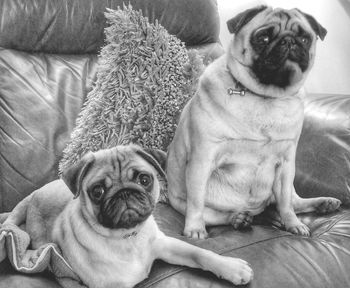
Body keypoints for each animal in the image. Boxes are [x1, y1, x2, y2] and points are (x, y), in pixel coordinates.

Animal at [3, 145, 254, 288]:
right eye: (97, 191)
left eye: (144, 179)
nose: (123, 193)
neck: (127, 237)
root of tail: (34, 194)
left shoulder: (166, 245)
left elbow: (199, 253)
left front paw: (231, 267)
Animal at [167, 7, 342, 241]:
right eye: (263, 38)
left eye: (305, 39)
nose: (289, 41)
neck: (265, 97)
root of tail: (258, 210)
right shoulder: (202, 160)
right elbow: (196, 203)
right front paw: (195, 229)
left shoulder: (286, 165)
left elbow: (286, 205)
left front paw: (293, 224)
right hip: (184, 203)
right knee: (215, 214)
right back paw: (238, 218)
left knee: (293, 202)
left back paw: (323, 203)